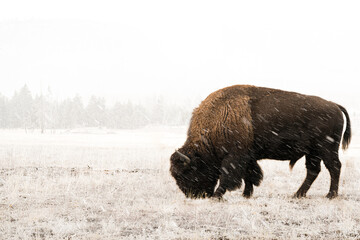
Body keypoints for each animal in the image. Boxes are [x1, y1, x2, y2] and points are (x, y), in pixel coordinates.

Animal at [170, 84, 350, 199]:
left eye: (186, 172)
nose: (194, 196)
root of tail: (335, 105)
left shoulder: (234, 157)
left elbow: (228, 176)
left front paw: (217, 195)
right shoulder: (248, 157)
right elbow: (250, 175)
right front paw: (246, 194)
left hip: (326, 149)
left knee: (334, 167)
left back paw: (330, 195)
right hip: (312, 153)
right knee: (313, 171)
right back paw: (298, 194)